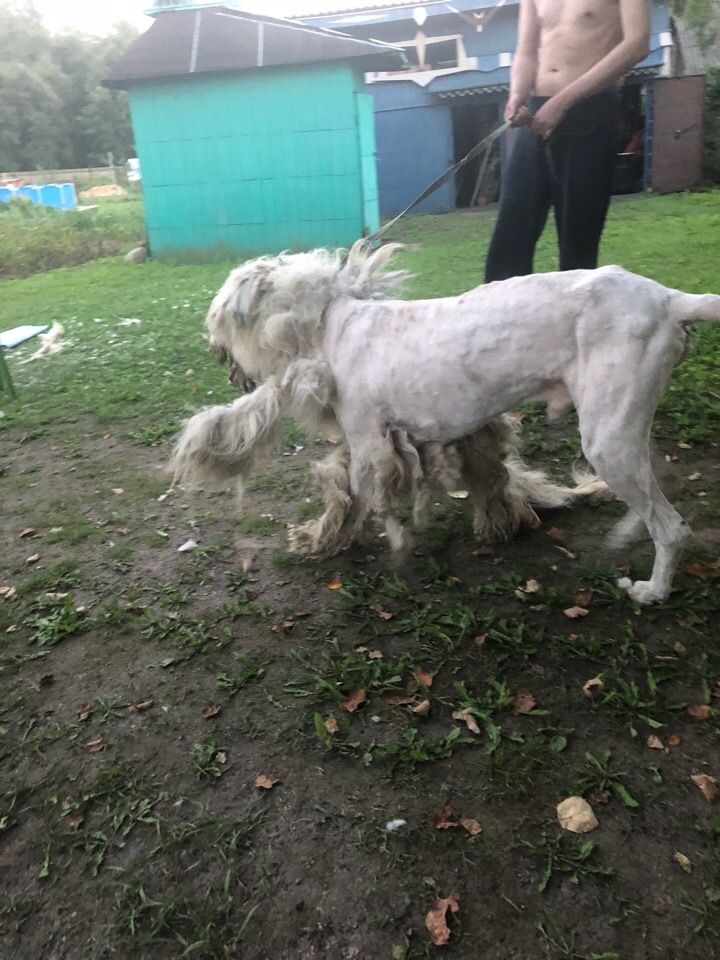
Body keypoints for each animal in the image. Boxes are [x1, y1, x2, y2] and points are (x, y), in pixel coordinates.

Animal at [170, 242, 720, 600]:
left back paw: (652, 590)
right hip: (624, 429)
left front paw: (332, 541)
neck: (329, 321)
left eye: (219, 316)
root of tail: (667, 298)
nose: (214, 348)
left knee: (672, 527)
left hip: (608, 440)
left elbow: (354, 501)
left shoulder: (368, 445)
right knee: (657, 491)